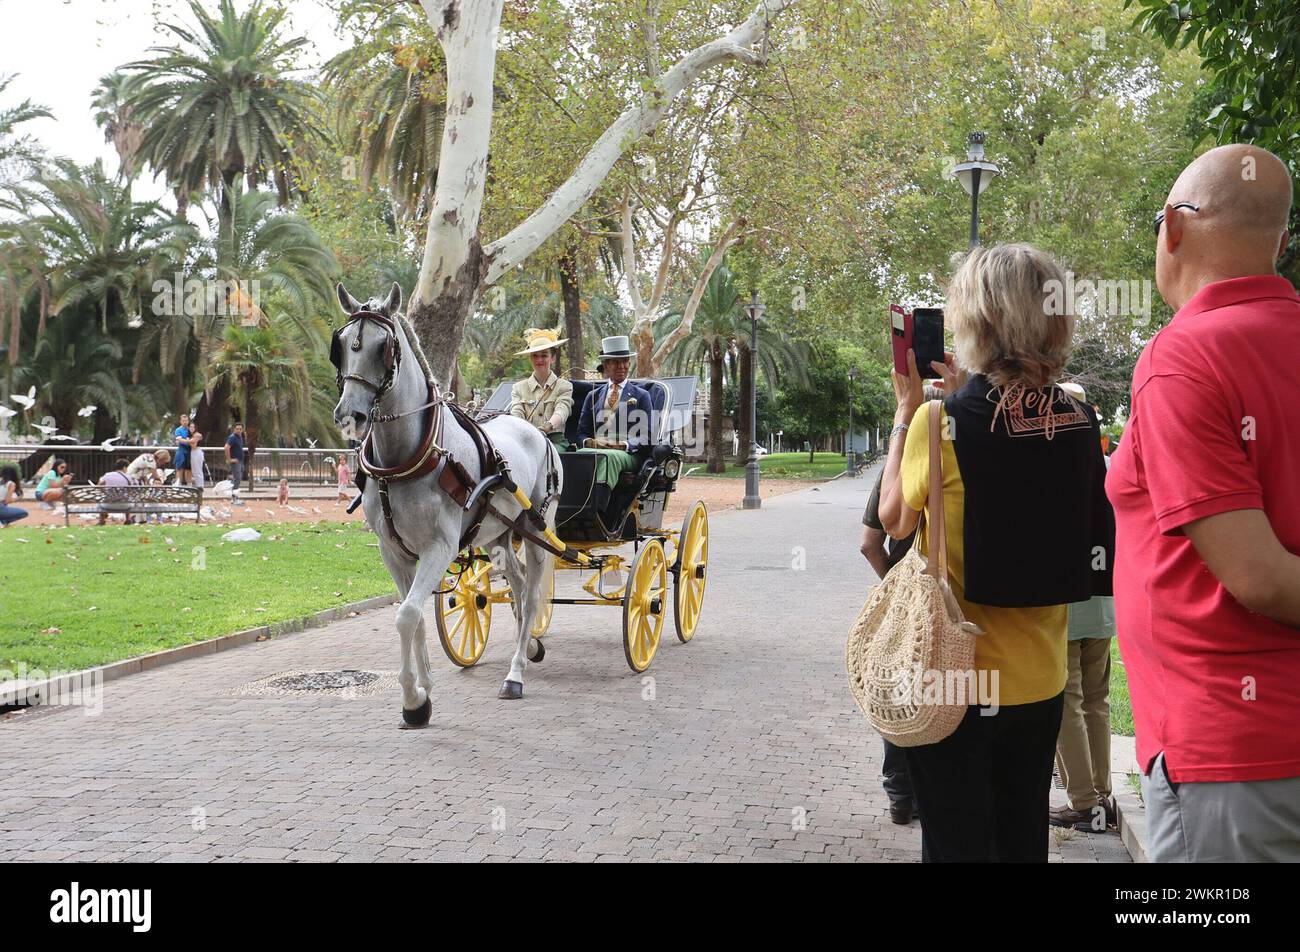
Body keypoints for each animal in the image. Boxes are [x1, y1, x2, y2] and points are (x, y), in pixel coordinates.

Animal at [330, 282, 559, 728]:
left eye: (384, 347)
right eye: (343, 346)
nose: (351, 415)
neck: (409, 458)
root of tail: (535, 430)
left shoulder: (440, 547)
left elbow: (406, 615)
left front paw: (413, 702)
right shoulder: (394, 552)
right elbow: (414, 615)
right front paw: (424, 689)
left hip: (536, 531)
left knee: (533, 594)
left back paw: (516, 673)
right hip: (498, 535)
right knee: (518, 583)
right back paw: (526, 648)